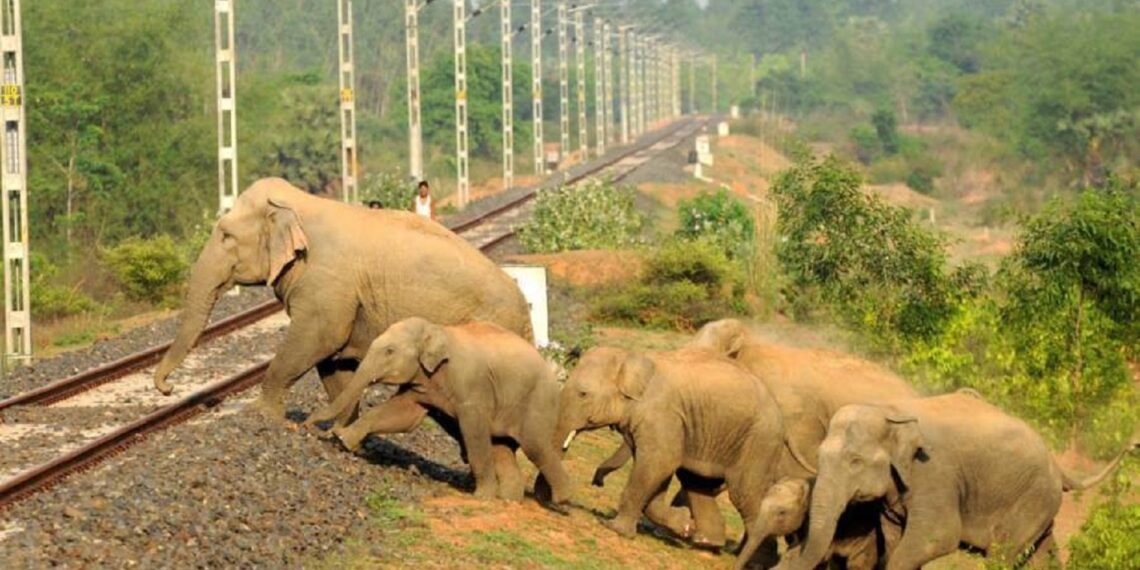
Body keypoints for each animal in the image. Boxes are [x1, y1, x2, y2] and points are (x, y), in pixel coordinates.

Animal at [152, 178, 532, 424]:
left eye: (226, 235)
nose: (168, 389)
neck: (299, 203)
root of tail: (524, 307)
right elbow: (334, 358)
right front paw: (339, 429)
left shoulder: (326, 283)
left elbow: (317, 339)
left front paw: (263, 418)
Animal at [304, 317, 572, 506]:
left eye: (389, 351)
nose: (308, 425)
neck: (437, 329)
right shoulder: (421, 384)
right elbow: (402, 415)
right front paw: (343, 441)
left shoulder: (472, 388)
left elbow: (473, 430)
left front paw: (481, 497)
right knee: (502, 447)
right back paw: (509, 500)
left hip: (539, 402)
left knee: (536, 447)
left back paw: (559, 500)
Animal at [555, 345, 792, 570]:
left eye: (583, 394)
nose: (597, 482)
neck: (631, 356)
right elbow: (659, 471)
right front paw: (684, 524)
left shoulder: (661, 414)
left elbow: (659, 462)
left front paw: (614, 528)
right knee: (697, 482)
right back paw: (705, 542)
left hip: (759, 442)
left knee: (745, 493)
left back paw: (759, 562)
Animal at [778, 393, 1138, 570]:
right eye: (820, 455)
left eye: (855, 461)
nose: (790, 550)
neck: (888, 410)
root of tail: (1057, 464)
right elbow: (895, 541)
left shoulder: (935, 475)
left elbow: (936, 537)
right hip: (1042, 506)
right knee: (1042, 554)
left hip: (1032, 500)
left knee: (1002, 555)